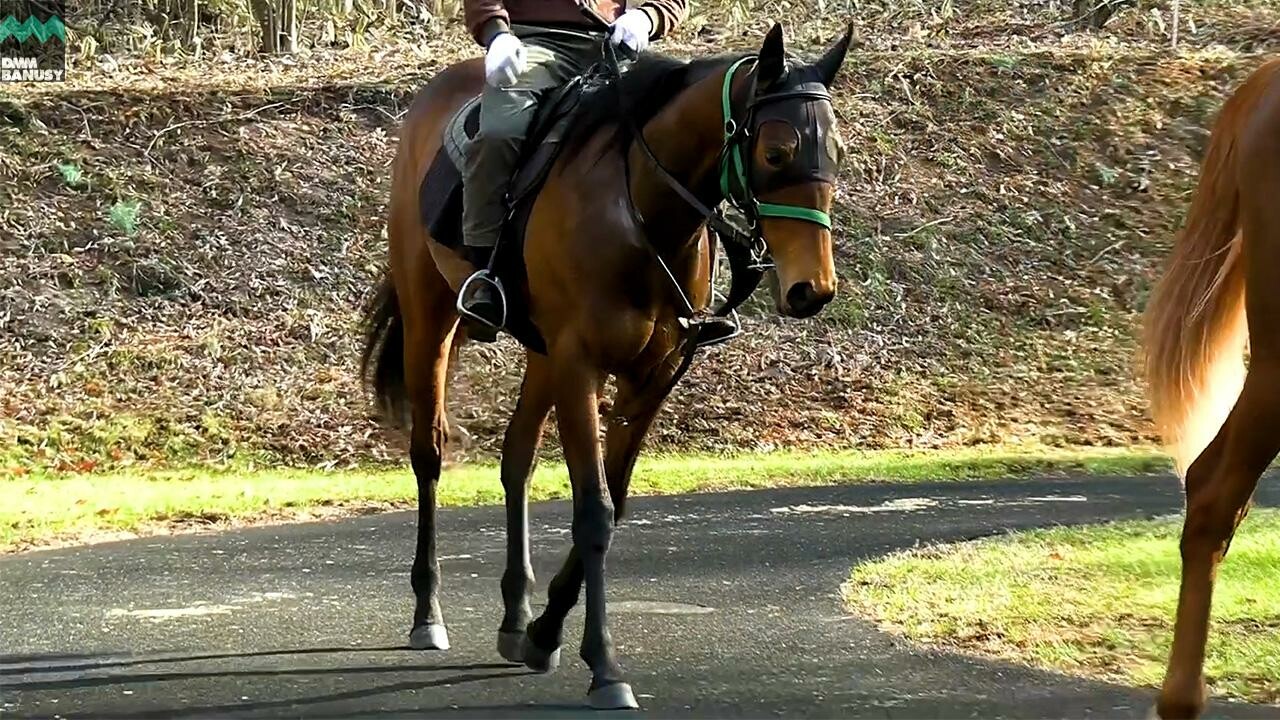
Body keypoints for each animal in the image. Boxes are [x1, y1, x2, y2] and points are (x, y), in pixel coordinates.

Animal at [360, 20, 849, 707]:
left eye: (835, 152)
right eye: (776, 153)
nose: (813, 290)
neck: (641, 213)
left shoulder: (654, 376)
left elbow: (613, 501)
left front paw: (544, 631)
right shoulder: (580, 366)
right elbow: (593, 511)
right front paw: (604, 666)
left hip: (540, 355)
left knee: (516, 460)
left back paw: (514, 616)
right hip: (432, 316)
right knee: (428, 455)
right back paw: (427, 614)